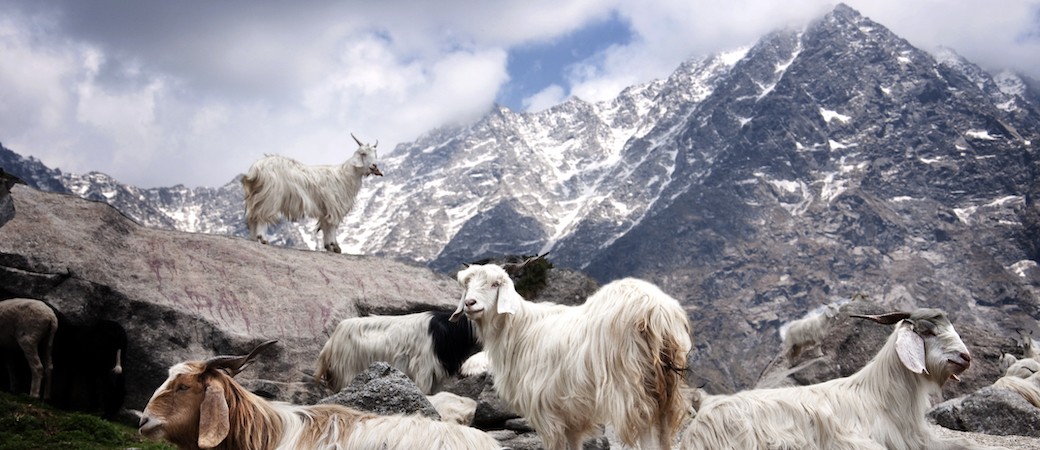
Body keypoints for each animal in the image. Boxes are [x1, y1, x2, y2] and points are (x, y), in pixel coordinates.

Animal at [242, 132, 382, 252]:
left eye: (375, 154)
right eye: (363, 153)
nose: (374, 166)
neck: (345, 176)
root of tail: (255, 169)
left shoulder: (326, 209)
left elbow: (326, 226)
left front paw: (329, 246)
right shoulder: (334, 206)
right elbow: (332, 226)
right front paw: (334, 247)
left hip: (256, 196)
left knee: (252, 217)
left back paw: (253, 238)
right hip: (270, 197)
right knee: (261, 216)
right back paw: (263, 239)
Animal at [451, 262, 694, 448]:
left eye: (495, 284)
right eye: (467, 285)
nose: (469, 303)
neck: (519, 330)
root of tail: (655, 309)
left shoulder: (545, 410)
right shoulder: (571, 414)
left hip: (629, 385)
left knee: (647, 428)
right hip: (666, 387)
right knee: (663, 430)